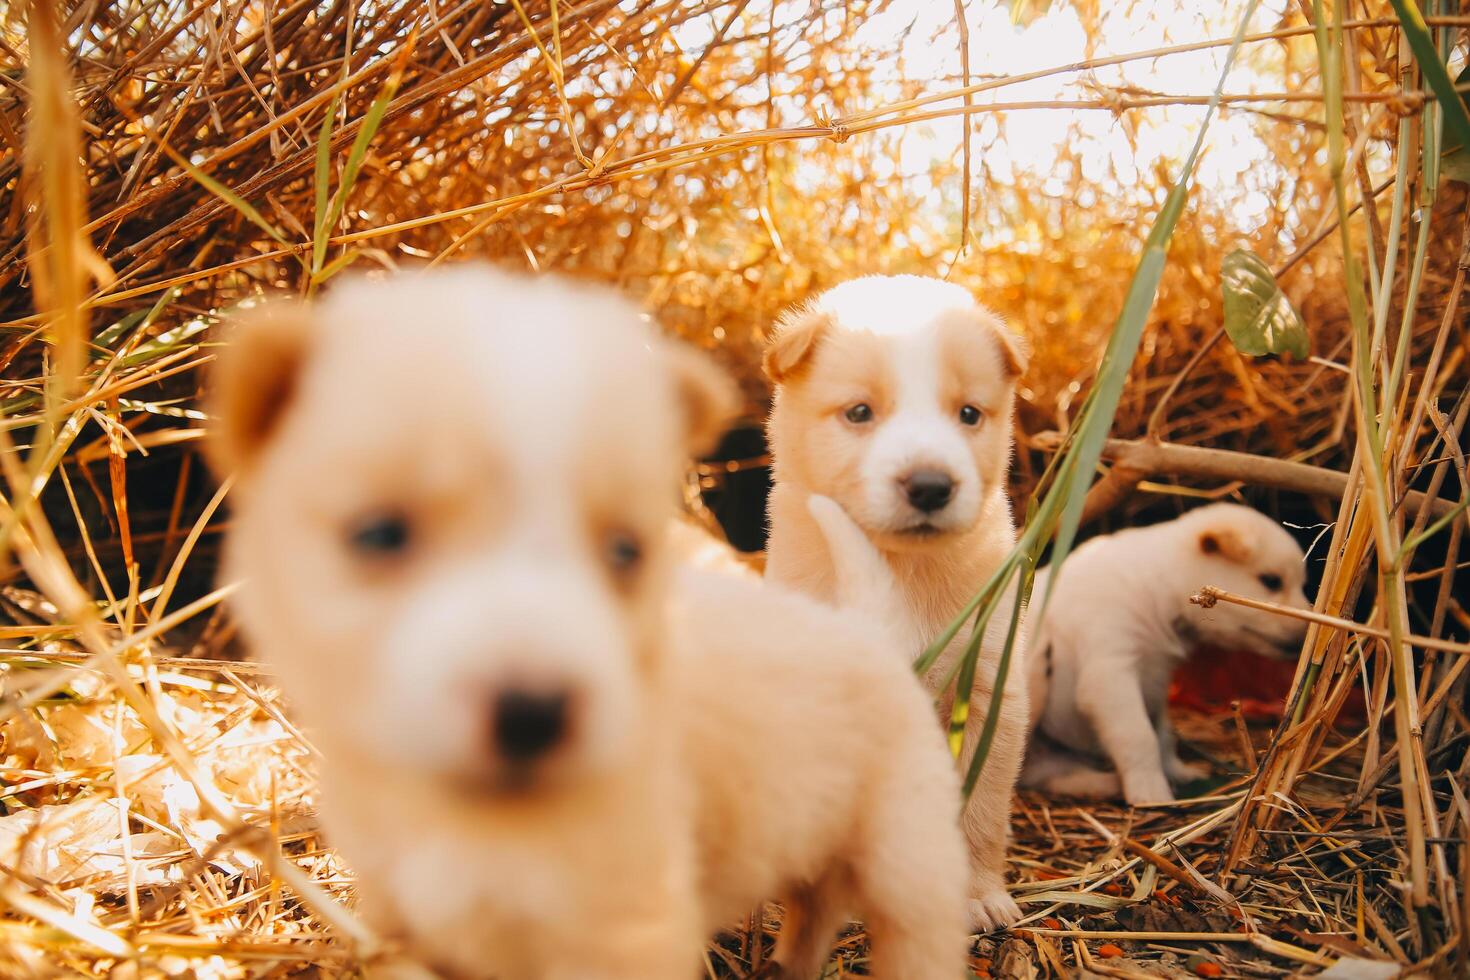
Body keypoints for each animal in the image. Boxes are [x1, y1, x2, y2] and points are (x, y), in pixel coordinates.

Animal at [207, 265, 964, 980]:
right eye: (380, 534)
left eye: (625, 550)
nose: (534, 710)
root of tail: (864, 631)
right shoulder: (399, 918)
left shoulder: (630, 930)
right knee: (812, 915)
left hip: (910, 862)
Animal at [764, 274, 1029, 934]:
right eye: (860, 412)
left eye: (968, 414)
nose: (931, 486)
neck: (898, 573)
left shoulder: (988, 690)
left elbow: (978, 810)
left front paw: (975, 895)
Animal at [1023, 505, 1311, 805]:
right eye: (1271, 581)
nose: (1309, 628)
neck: (1157, 586)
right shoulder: (1110, 672)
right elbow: (1139, 736)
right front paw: (1151, 792)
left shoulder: (1158, 680)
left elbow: (1163, 735)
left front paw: (1176, 771)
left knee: (1043, 770)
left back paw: (1102, 783)